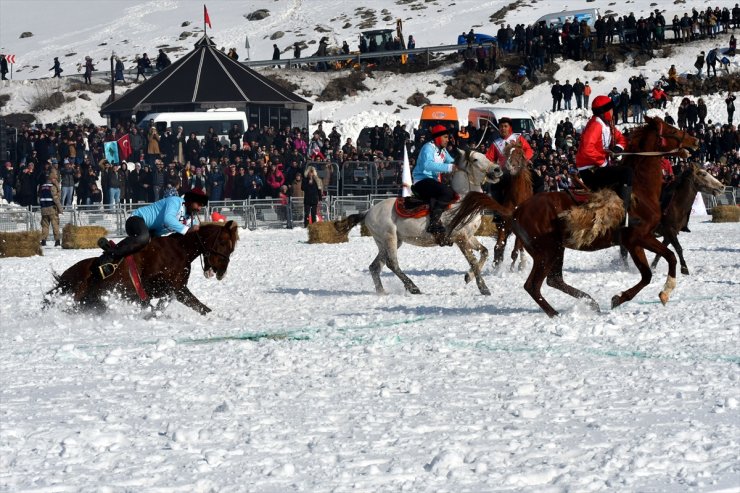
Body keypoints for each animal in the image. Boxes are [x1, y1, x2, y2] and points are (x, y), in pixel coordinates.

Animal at [45, 221, 240, 314]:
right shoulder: (168, 287)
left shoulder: (175, 289)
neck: (181, 250)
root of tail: (65, 276)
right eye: (223, 242)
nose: (222, 272)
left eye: (232, 248)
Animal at [332, 148, 506, 294]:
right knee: (392, 264)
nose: (497, 169)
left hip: (387, 242)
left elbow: (484, 252)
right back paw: (413, 287)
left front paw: (468, 277)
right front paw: (483, 288)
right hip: (389, 238)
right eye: (475, 159)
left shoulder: (469, 237)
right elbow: (473, 261)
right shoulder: (460, 238)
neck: (463, 202)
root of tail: (368, 211)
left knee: (375, 267)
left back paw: (382, 291)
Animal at [446, 116, 700, 318]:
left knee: (553, 280)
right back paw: (555, 313)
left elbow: (668, 258)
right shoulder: (636, 239)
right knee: (533, 285)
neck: (640, 190)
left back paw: (590, 302)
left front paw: (664, 291)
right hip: (546, 251)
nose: (695, 141)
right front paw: (623, 298)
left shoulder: (644, 238)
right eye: (672, 130)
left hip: (555, 249)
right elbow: (649, 273)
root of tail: (517, 210)